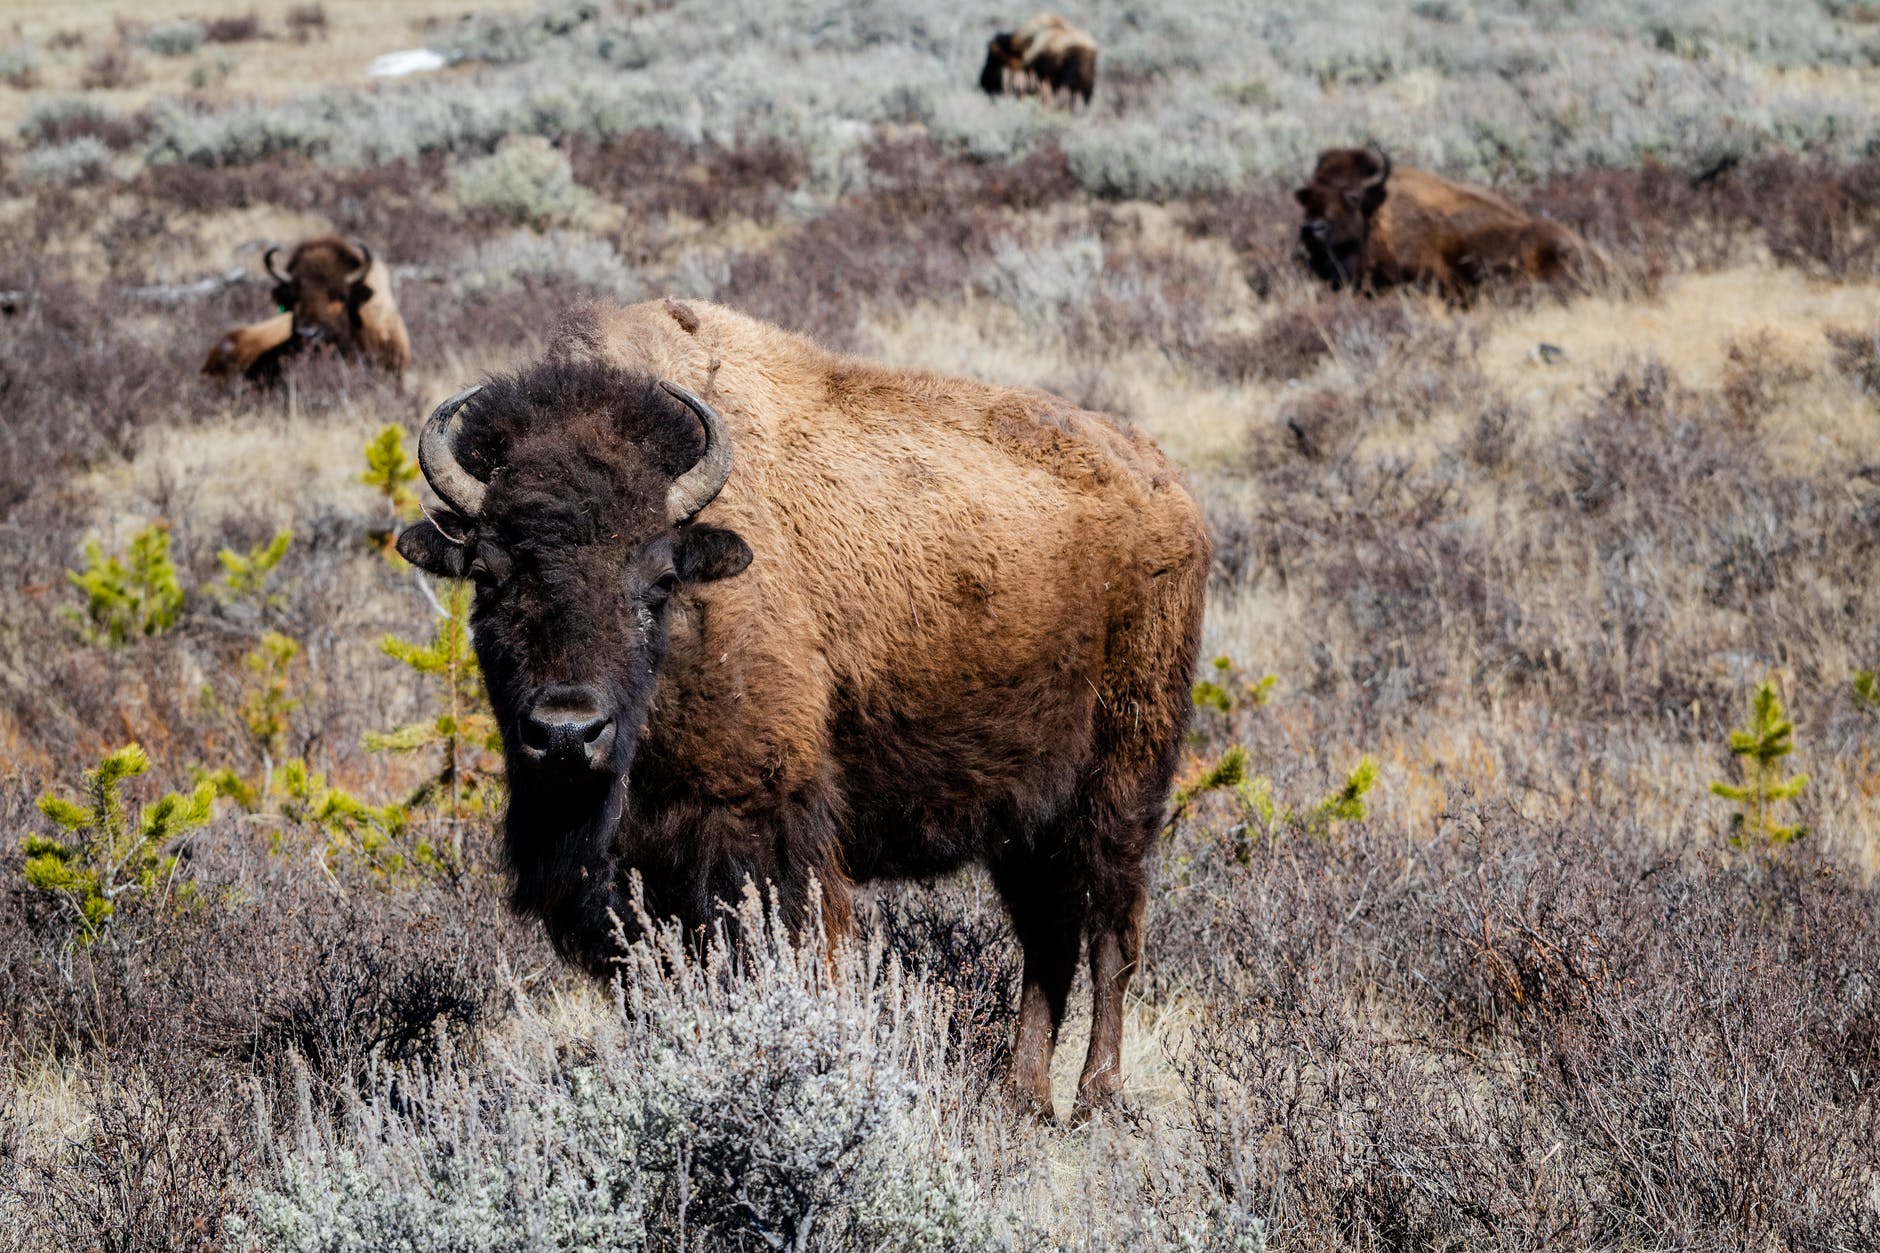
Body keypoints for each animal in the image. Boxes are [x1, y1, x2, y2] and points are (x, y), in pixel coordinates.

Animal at [395, 298, 1209, 1121]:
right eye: (488, 576)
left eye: (658, 578)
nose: (567, 733)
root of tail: (1168, 486)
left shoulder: (762, 834)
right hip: (1025, 818)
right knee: (1048, 939)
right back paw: (1021, 1097)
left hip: (1121, 782)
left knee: (1112, 931)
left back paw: (1097, 1096)